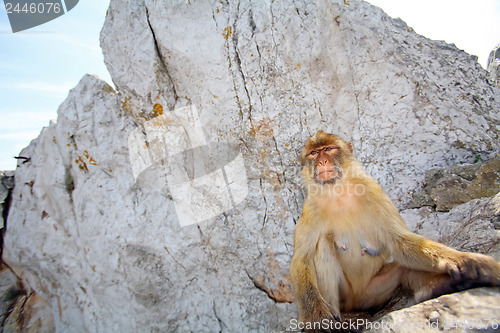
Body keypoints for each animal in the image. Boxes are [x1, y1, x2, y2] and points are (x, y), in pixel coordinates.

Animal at [290, 131, 500, 330]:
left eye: (329, 149)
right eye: (313, 153)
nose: (322, 161)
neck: (337, 192)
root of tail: (355, 303)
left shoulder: (373, 191)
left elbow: (400, 241)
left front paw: (467, 260)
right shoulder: (310, 208)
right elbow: (302, 259)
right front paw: (315, 317)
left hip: (372, 292)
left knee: (403, 267)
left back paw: (442, 285)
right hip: (347, 297)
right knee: (322, 247)